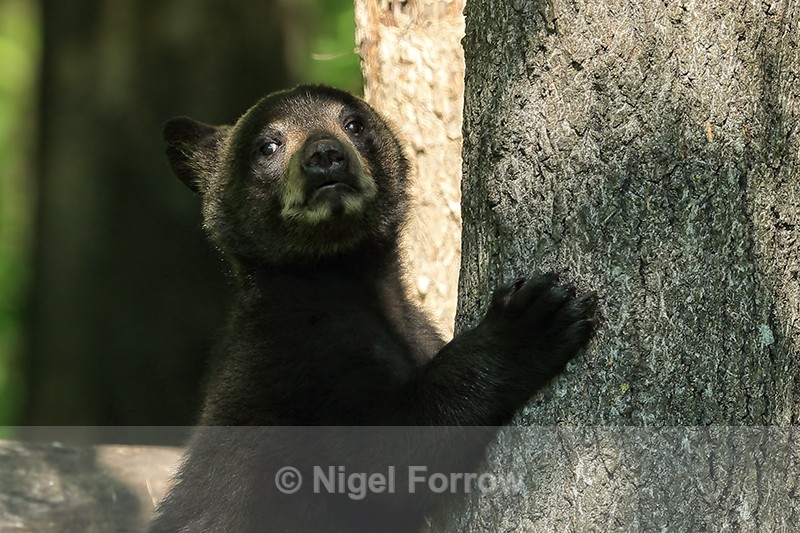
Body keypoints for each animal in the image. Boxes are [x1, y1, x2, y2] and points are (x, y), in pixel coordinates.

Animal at [148, 85, 598, 533]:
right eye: (268, 144)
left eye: (353, 123)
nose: (325, 155)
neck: (342, 276)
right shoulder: (292, 360)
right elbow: (386, 452)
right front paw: (532, 321)